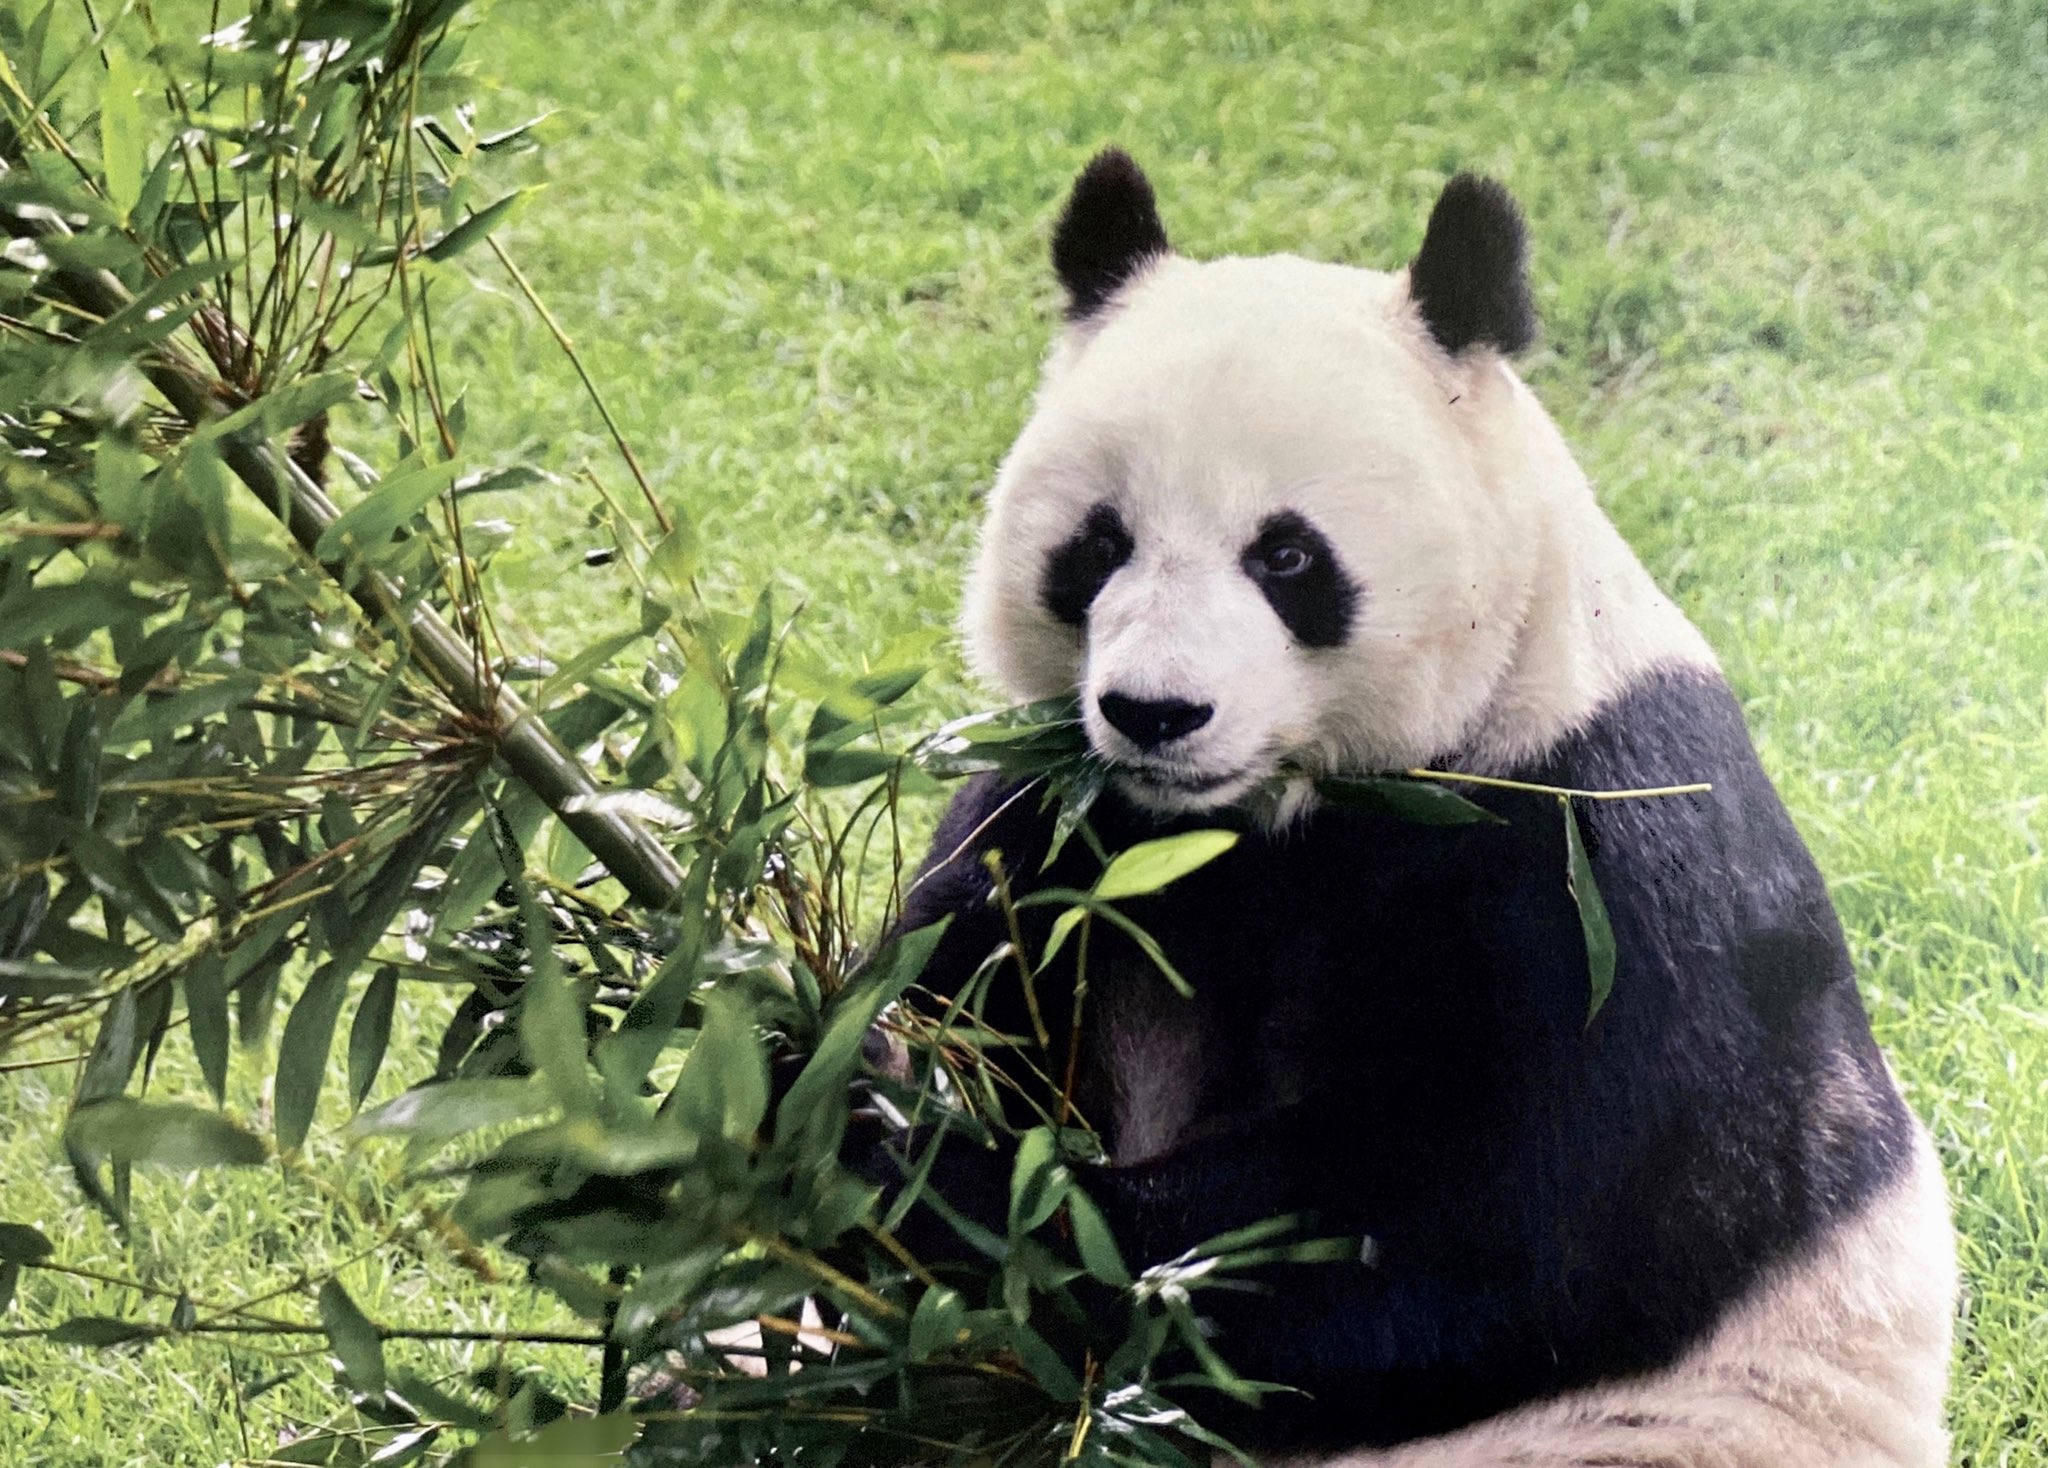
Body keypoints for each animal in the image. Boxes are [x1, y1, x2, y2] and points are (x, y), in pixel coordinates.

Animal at [888, 154, 1957, 1457]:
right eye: (1097, 545)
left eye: (1285, 556)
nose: (1154, 711)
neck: (1268, 813)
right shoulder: (1075, 819)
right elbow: (962, 964)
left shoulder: (1598, 862)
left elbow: (1463, 1244)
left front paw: (922, 1164)